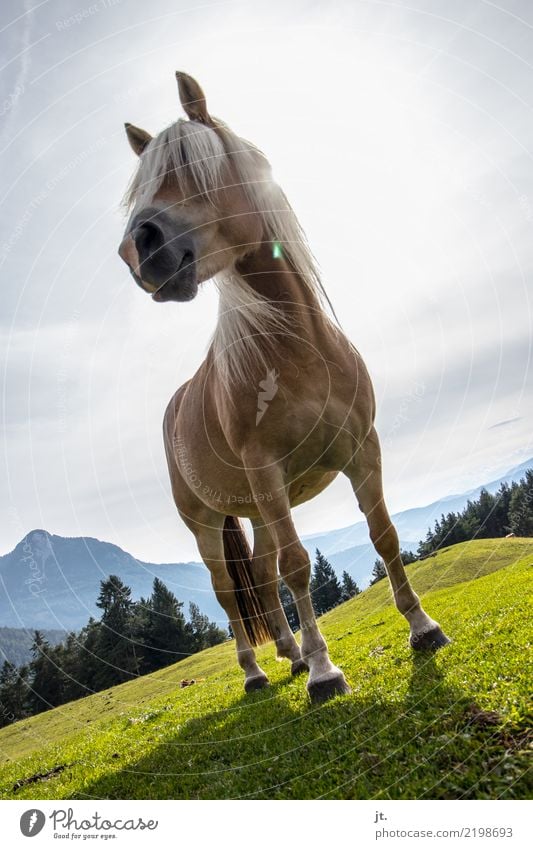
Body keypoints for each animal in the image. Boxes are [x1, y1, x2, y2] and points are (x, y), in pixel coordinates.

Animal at [117, 73, 448, 704]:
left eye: (197, 167)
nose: (139, 248)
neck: (298, 351)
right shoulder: (268, 474)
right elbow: (299, 567)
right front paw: (324, 673)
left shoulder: (363, 451)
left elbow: (385, 536)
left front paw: (422, 627)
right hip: (210, 524)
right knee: (232, 594)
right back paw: (257, 672)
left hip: (258, 512)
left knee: (265, 581)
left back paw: (290, 655)